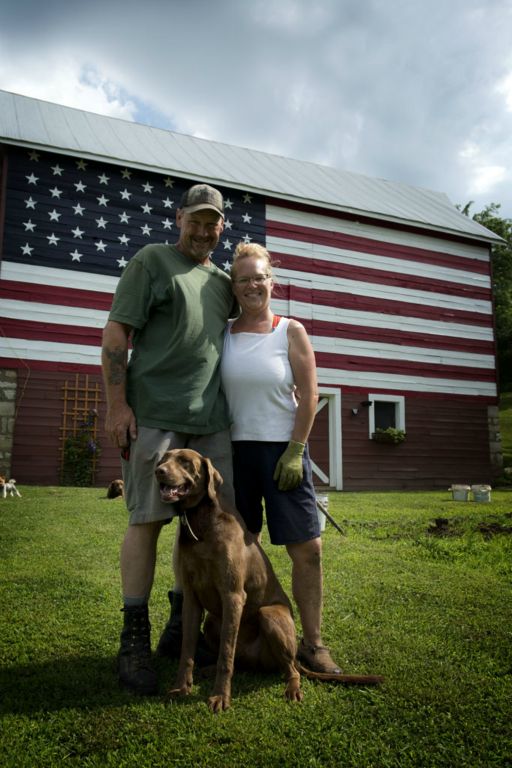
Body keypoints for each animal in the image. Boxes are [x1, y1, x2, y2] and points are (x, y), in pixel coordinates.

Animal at [154, 448, 302, 712]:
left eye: (185, 462)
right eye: (164, 459)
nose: (158, 471)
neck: (200, 520)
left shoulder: (233, 595)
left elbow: (226, 654)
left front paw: (220, 697)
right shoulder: (191, 598)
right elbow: (186, 650)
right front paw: (181, 688)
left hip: (270, 615)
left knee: (290, 670)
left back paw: (292, 688)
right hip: (212, 621)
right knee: (236, 657)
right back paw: (209, 669)